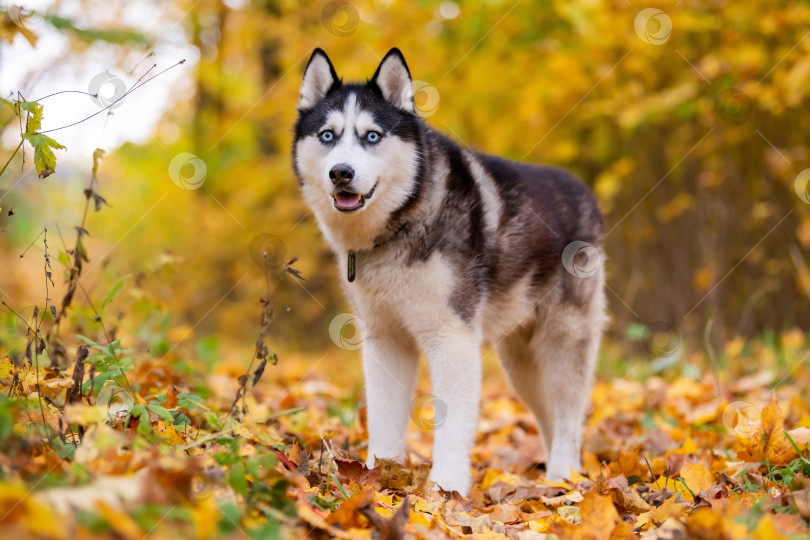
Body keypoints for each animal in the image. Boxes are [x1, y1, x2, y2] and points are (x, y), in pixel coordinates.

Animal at [294, 47, 604, 494]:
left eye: (372, 137)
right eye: (327, 136)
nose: (341, 173)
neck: (400, 225)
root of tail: (584, 192)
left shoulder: (452, 338)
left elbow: (453, 424)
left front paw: (447, 490)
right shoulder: (385, 339)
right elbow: (384, 418)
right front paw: (377, 477)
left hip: (563, 342)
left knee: (568, 416)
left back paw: (564, 477)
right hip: (521, 363)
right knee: (546, 412)